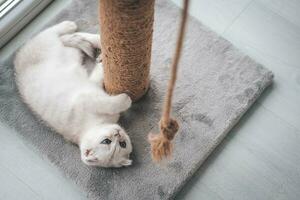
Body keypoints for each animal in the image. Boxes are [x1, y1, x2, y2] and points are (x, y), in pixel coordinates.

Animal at [14, 20, 133, 167]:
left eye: (122, 144)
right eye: (106, 141)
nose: (118, 133)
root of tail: (17, 64)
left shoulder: (92, 85)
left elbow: (98, 75)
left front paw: (102, 62)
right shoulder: (86, 100)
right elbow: (112, 104)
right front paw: (126, 99)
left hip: (70, 53)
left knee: (74, 38)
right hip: (55, 46)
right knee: (53, 33)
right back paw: (69, 26)